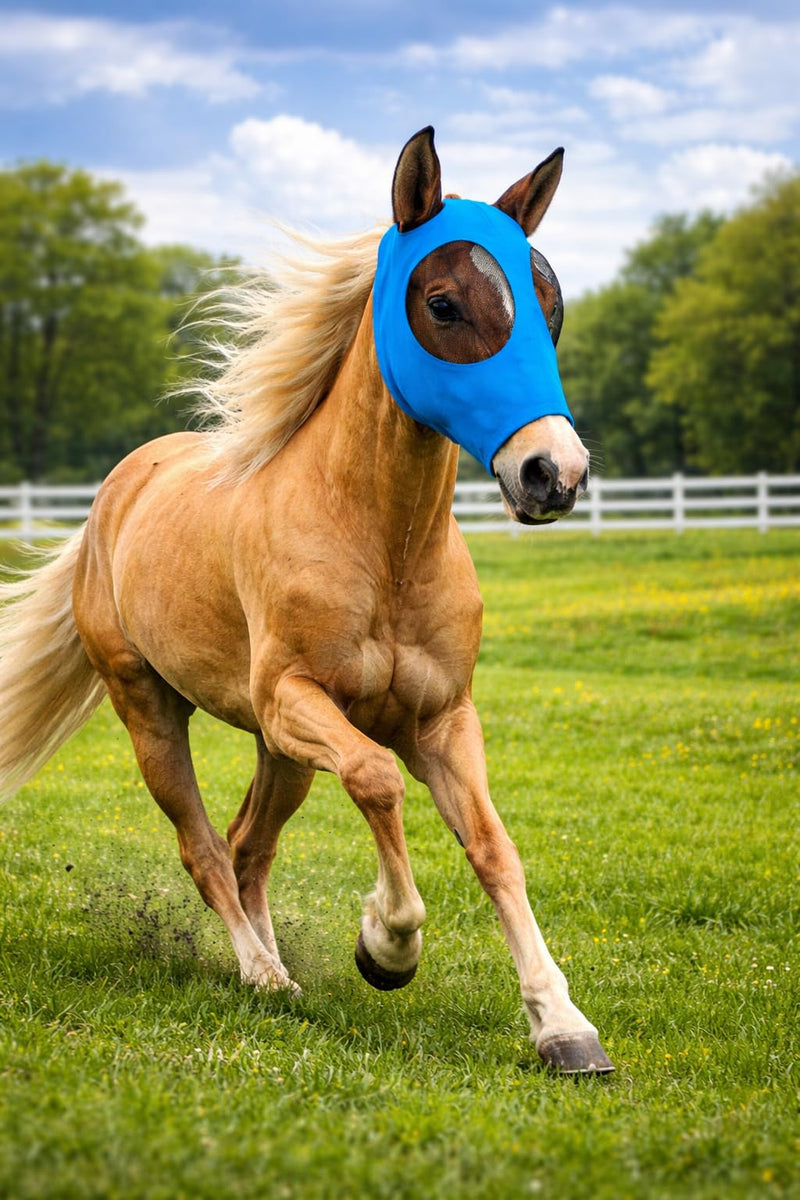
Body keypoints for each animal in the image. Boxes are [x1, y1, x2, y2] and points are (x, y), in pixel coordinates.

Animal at [0, 127, 613, 1075]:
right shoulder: (300, 701)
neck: (381, 545)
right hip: (156, 712)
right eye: (442, 303)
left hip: (277, 751)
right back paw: (264, 975)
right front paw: (386, 947)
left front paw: (563, 1026)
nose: (553, 473)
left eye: (549, 306)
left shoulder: (442, 721)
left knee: (249, 846)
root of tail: (116, 493)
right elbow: (376, 780)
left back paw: (273, 962)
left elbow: (493, 847)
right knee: (204, 848)